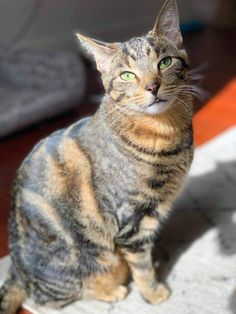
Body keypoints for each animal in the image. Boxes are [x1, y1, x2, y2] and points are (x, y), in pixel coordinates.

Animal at [0, 0, 194, 312]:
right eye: (127, 75)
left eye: (165, 62)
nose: (152, 86)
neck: (166, 134)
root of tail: (15, 272)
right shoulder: (131, 219)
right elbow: (142, 266)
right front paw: (154, 294)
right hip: (85, 263)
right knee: (53, 297)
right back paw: (112, 292)